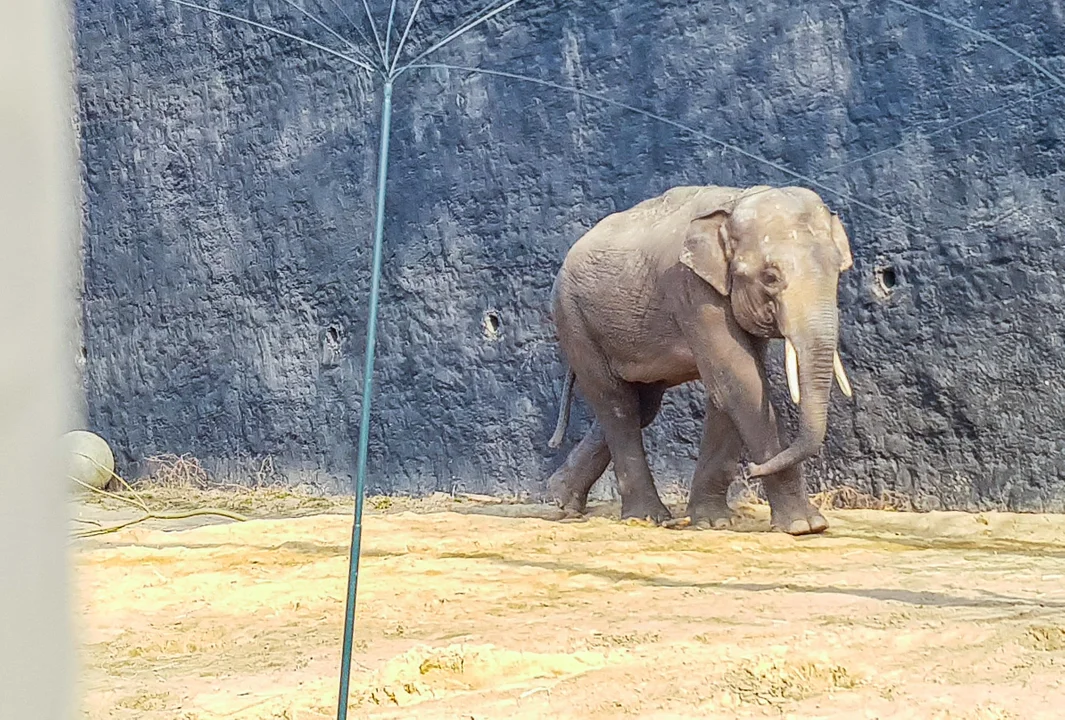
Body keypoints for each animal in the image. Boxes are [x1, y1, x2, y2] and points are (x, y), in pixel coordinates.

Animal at [545, 184, 852, 534]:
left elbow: (728, 391)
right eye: (770, 277)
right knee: (616, 404)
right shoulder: (693, 288)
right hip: (573, 319)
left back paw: (561, 500)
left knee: (641, 406)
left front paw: (712, 521)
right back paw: (645, 516)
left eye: (837, 271)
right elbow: (739, 381)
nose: (752, 470)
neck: (737, 200)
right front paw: (805, 526)